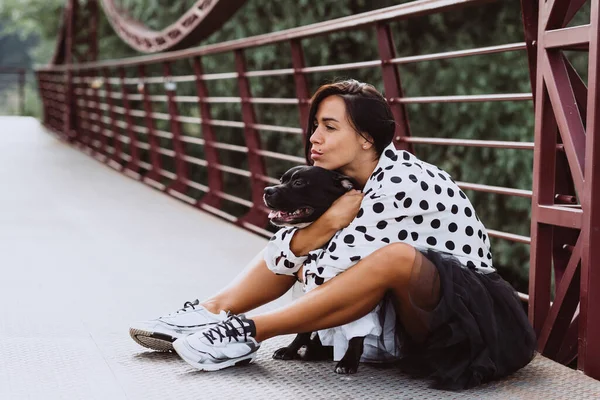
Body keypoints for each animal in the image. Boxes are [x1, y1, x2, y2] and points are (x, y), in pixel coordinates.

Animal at [264, 164, 366, 374]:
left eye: (299, 182)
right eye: (282, 180)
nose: (266, 190)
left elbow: (357, 333)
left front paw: (348, 361)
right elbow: (303, 325)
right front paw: (291, 349)